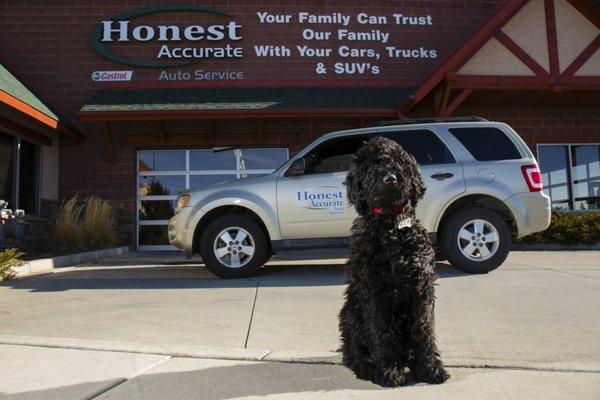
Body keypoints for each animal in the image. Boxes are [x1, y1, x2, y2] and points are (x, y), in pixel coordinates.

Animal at [340, 136, 448, 386]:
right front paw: (389, 371)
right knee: (353, 352)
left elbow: (424, 328)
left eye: (399, 161)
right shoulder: (373, 290)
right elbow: (381, 331)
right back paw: (367, 367)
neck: (391, 224)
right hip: (350, 313)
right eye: (370, 165)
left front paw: (430, 368)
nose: (390, 178)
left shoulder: (422, 287)